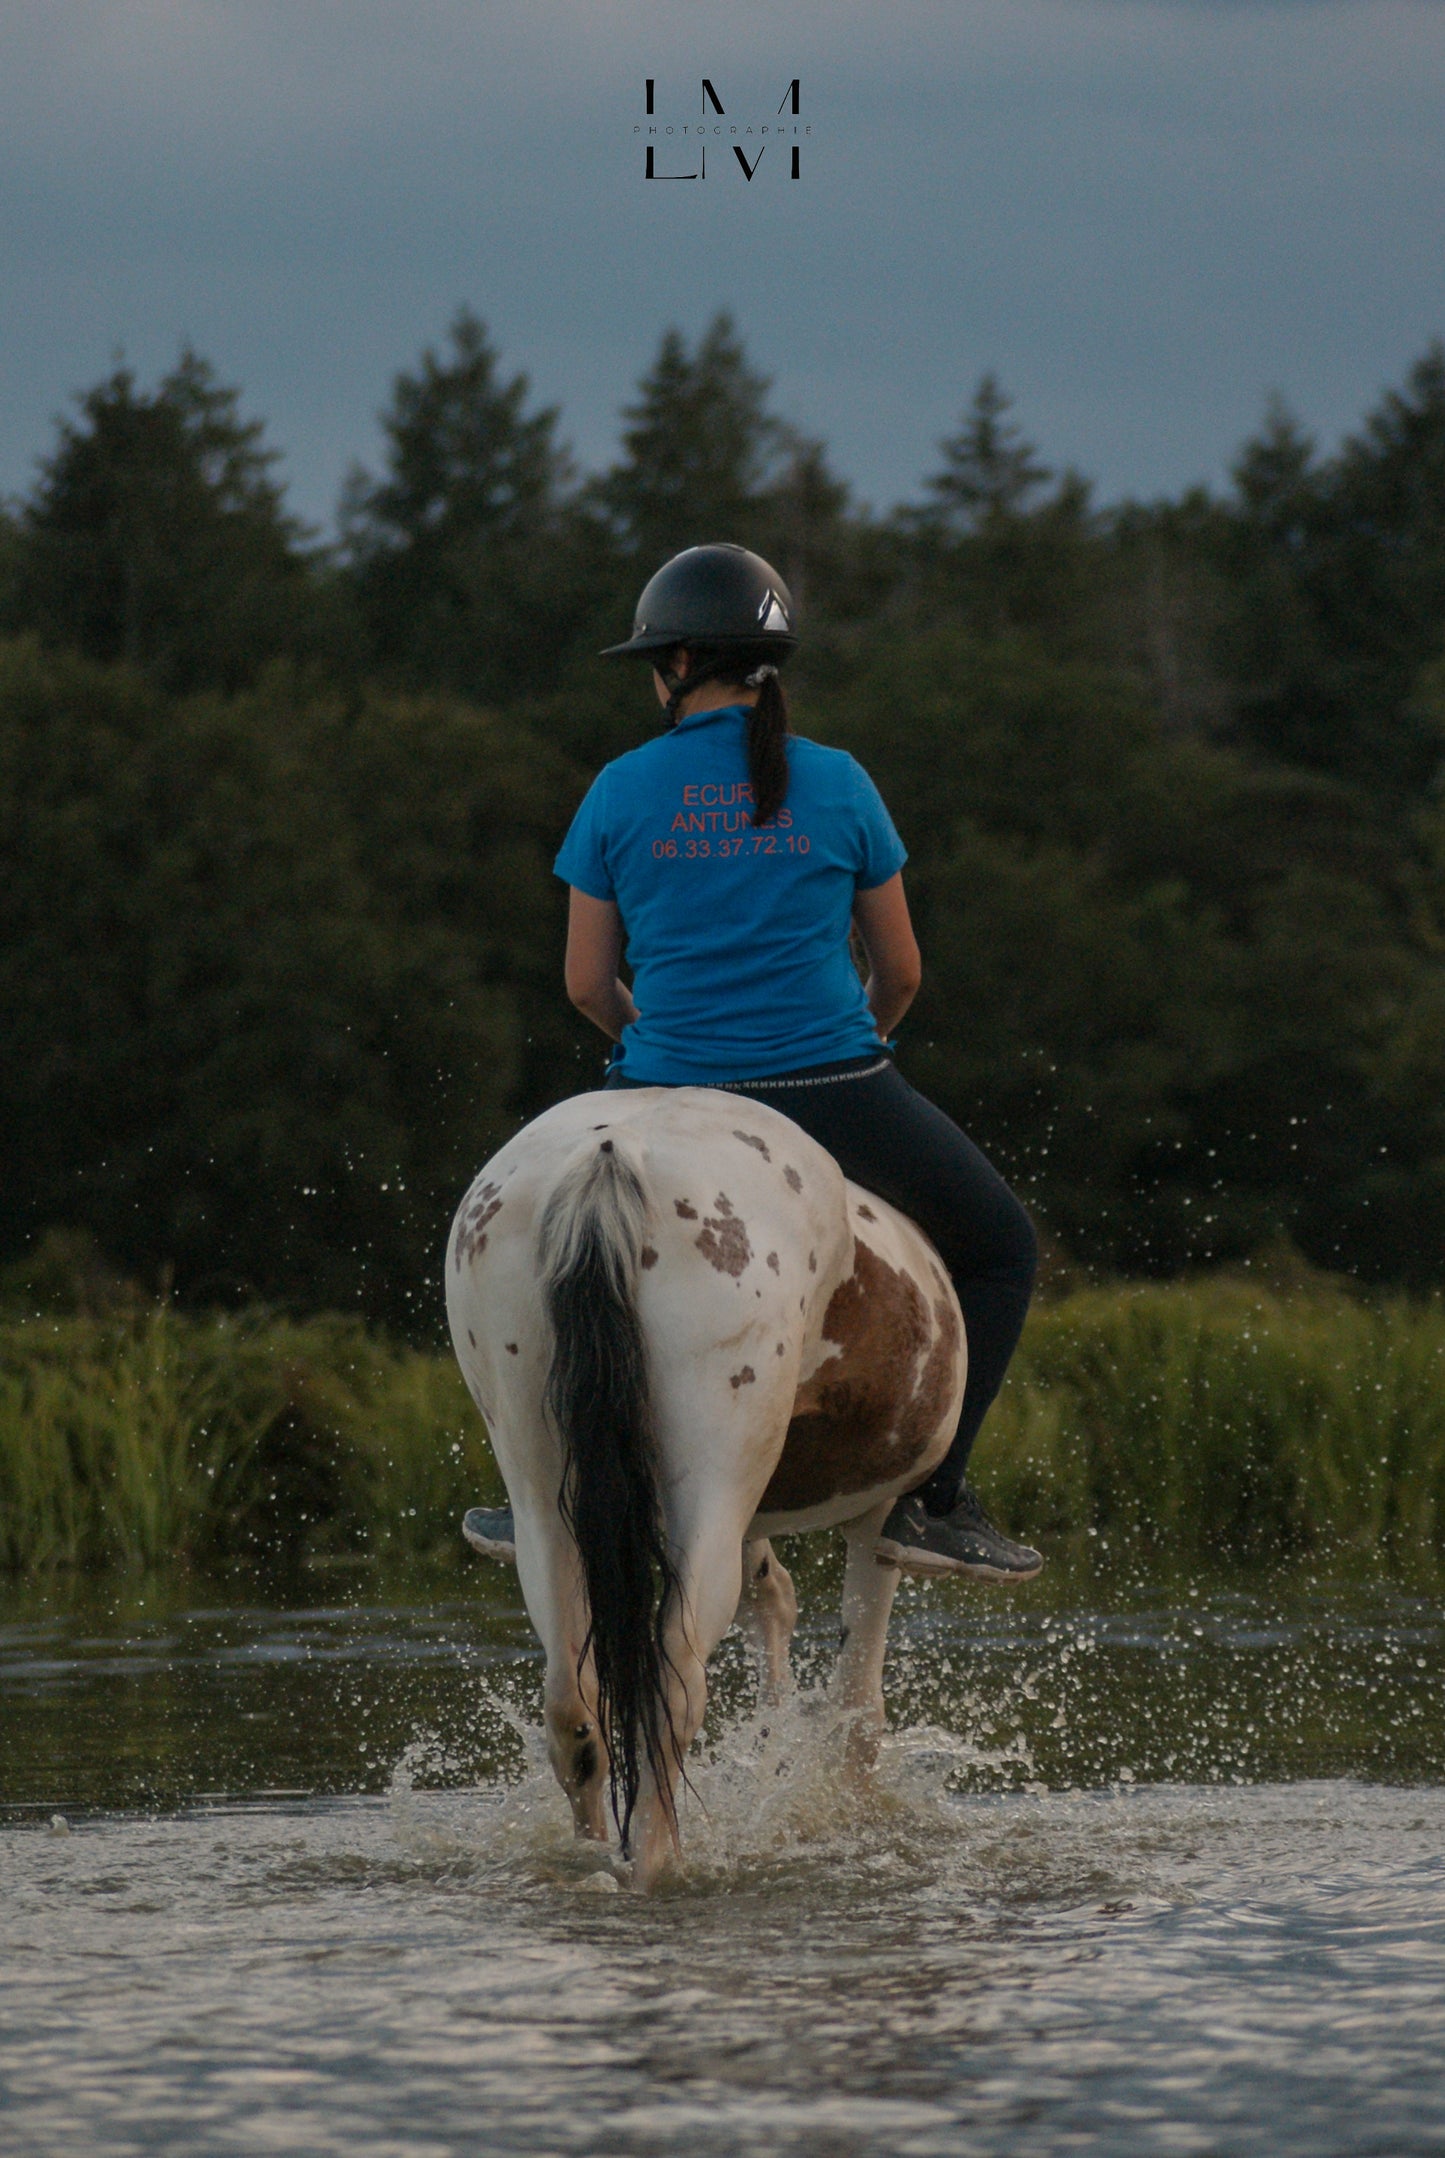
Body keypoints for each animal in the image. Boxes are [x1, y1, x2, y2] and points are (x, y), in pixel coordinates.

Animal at [446, 1087, 966, 1881]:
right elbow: (855, 1710)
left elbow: (774, 1606)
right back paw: (658, 1862)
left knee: (574, 1704)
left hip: (540, 1491)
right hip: (720, 1475)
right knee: (675, 1684)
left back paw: (594, 1852)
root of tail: (607, 1159)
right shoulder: (878, 1517)